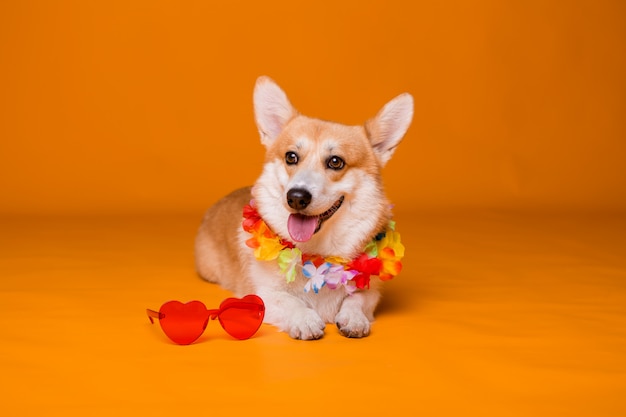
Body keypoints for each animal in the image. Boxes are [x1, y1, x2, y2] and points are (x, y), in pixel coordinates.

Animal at [193, 77, 412, 338]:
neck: (317, 253)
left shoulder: (371, 291)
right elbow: (290, 301)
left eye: (336, 161)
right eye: (291, 157)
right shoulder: (262, 295)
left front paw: (353, 318)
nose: (296, 197)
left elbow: (357, 299)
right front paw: (305, 319)